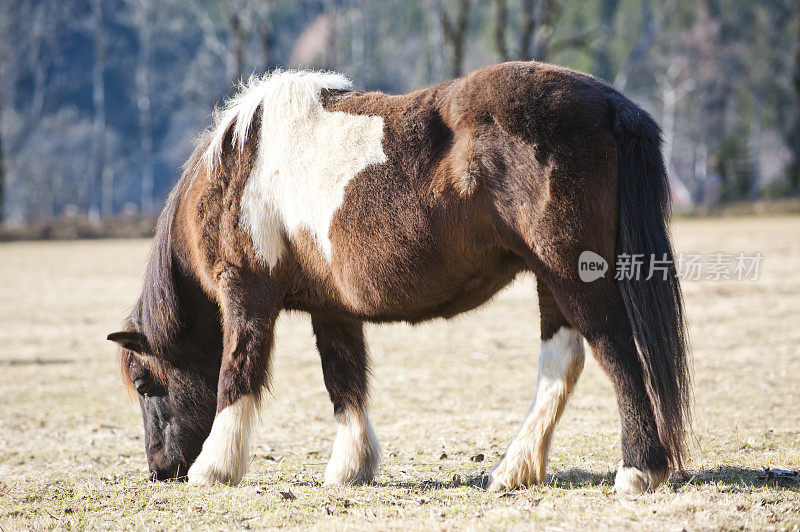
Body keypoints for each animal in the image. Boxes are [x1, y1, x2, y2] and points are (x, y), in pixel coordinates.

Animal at [109, 62, 692, 494]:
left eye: (145, 384)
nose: (161, 470)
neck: (236, 170)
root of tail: (609, 102)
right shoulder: (332, 309)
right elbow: (344, 382)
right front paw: (351, 468)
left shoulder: (245, 292)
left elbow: (238, 372)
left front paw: (215, 468)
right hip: (549, 278)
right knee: (561, 362)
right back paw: (513, 470)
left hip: (572, 273)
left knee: (618, 355)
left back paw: (639, 469)